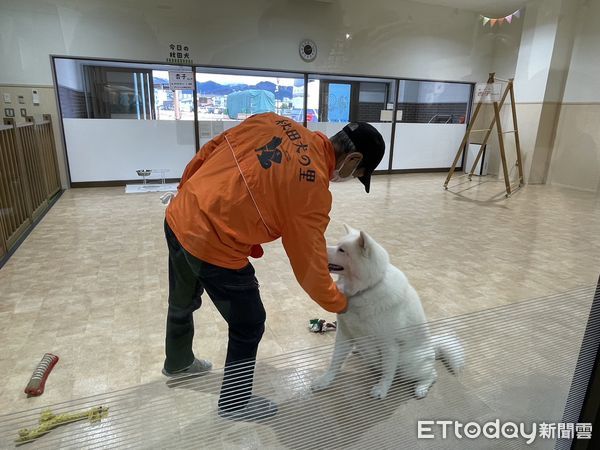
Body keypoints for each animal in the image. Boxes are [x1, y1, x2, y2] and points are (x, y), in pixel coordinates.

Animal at [312, 227, 466, 400]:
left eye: (342, 250)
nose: (318, 249)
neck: (366, 289)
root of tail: (433, 348)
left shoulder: (389, 344)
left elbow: (387, 372)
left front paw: (381, 390)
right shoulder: (344, 334)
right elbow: (335, 361)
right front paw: (324, 380)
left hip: (407, 365)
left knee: (432, 374)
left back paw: (421, 388)